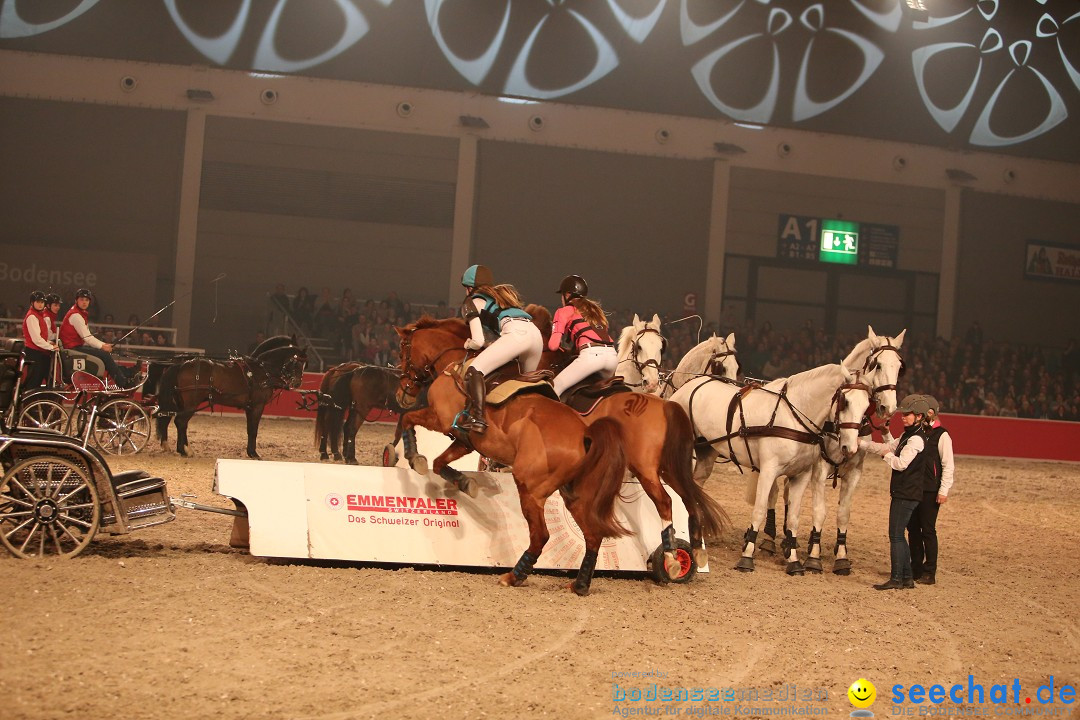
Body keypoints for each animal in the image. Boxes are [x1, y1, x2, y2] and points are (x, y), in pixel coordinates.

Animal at [152, 334, 306, 459]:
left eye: (305, 364)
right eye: (297, 362)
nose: (297, 383)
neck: (261, 370)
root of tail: (182, 364)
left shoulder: (249, 407)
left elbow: (249, 429)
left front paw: (250, 452)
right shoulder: (258, 406)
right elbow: (253, 430)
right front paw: (254, 453)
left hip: (181, 402)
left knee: (175, 421)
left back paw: (183, 449)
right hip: (191, 403)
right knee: (180, 422)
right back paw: (183, 450)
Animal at [395, 317, 630, 595]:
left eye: (402, 351)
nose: (402, 393)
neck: (453, 360)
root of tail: (585, 433)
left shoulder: (440, 419)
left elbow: (408, 419)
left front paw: (414, 457)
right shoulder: (464, 441)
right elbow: (440, 462)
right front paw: (465, 483)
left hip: (530, 488)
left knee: (541, 535)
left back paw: (514, 576)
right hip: (574, 494)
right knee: (593, 535)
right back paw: (580, 584)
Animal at [527, 304, 730, 578]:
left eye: (661, 346)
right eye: (639, 346)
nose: (652, 381)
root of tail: (665, 407)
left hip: (649, 470)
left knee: (666, 501)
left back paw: (671, 556)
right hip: (671, 468)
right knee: (688, 497)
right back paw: (695, 549)